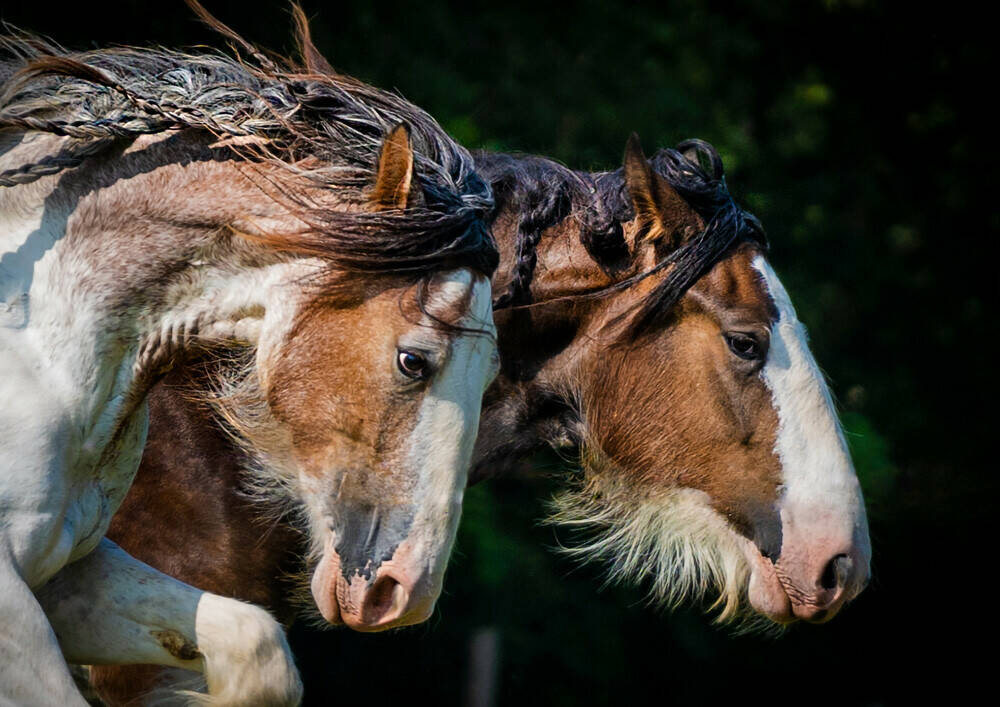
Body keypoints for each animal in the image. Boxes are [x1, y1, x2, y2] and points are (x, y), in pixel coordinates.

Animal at [0, 6, 501, 704]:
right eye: (413, 361)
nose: (402, 594)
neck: (40, 347)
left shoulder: (69, 572)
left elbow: (256, 647)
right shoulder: (13, 600)